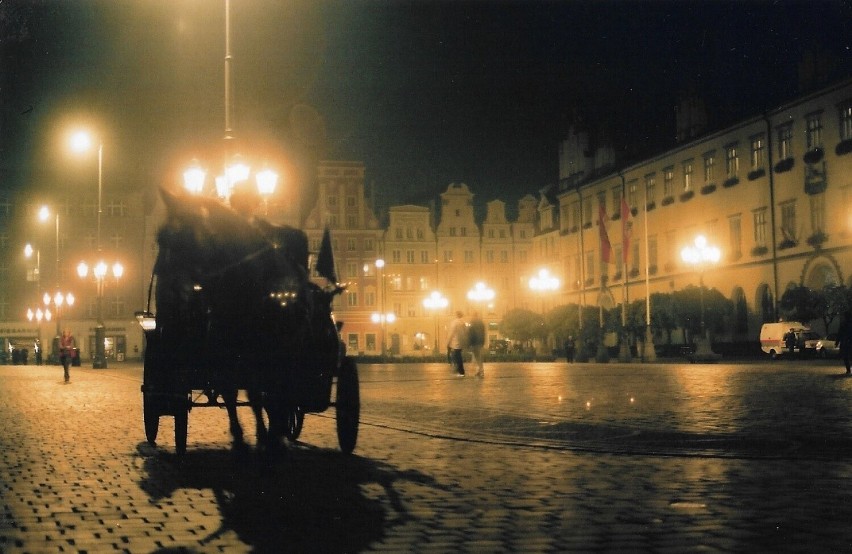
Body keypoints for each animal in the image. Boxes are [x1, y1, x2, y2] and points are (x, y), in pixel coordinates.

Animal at [155, 188, 342, 450]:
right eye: (160, 240)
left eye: (187, 239)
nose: (164, 298)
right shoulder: (226, 351)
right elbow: (233, 392)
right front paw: (241, 435)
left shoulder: (269, 351)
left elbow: (263, 394)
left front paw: (270, 435)